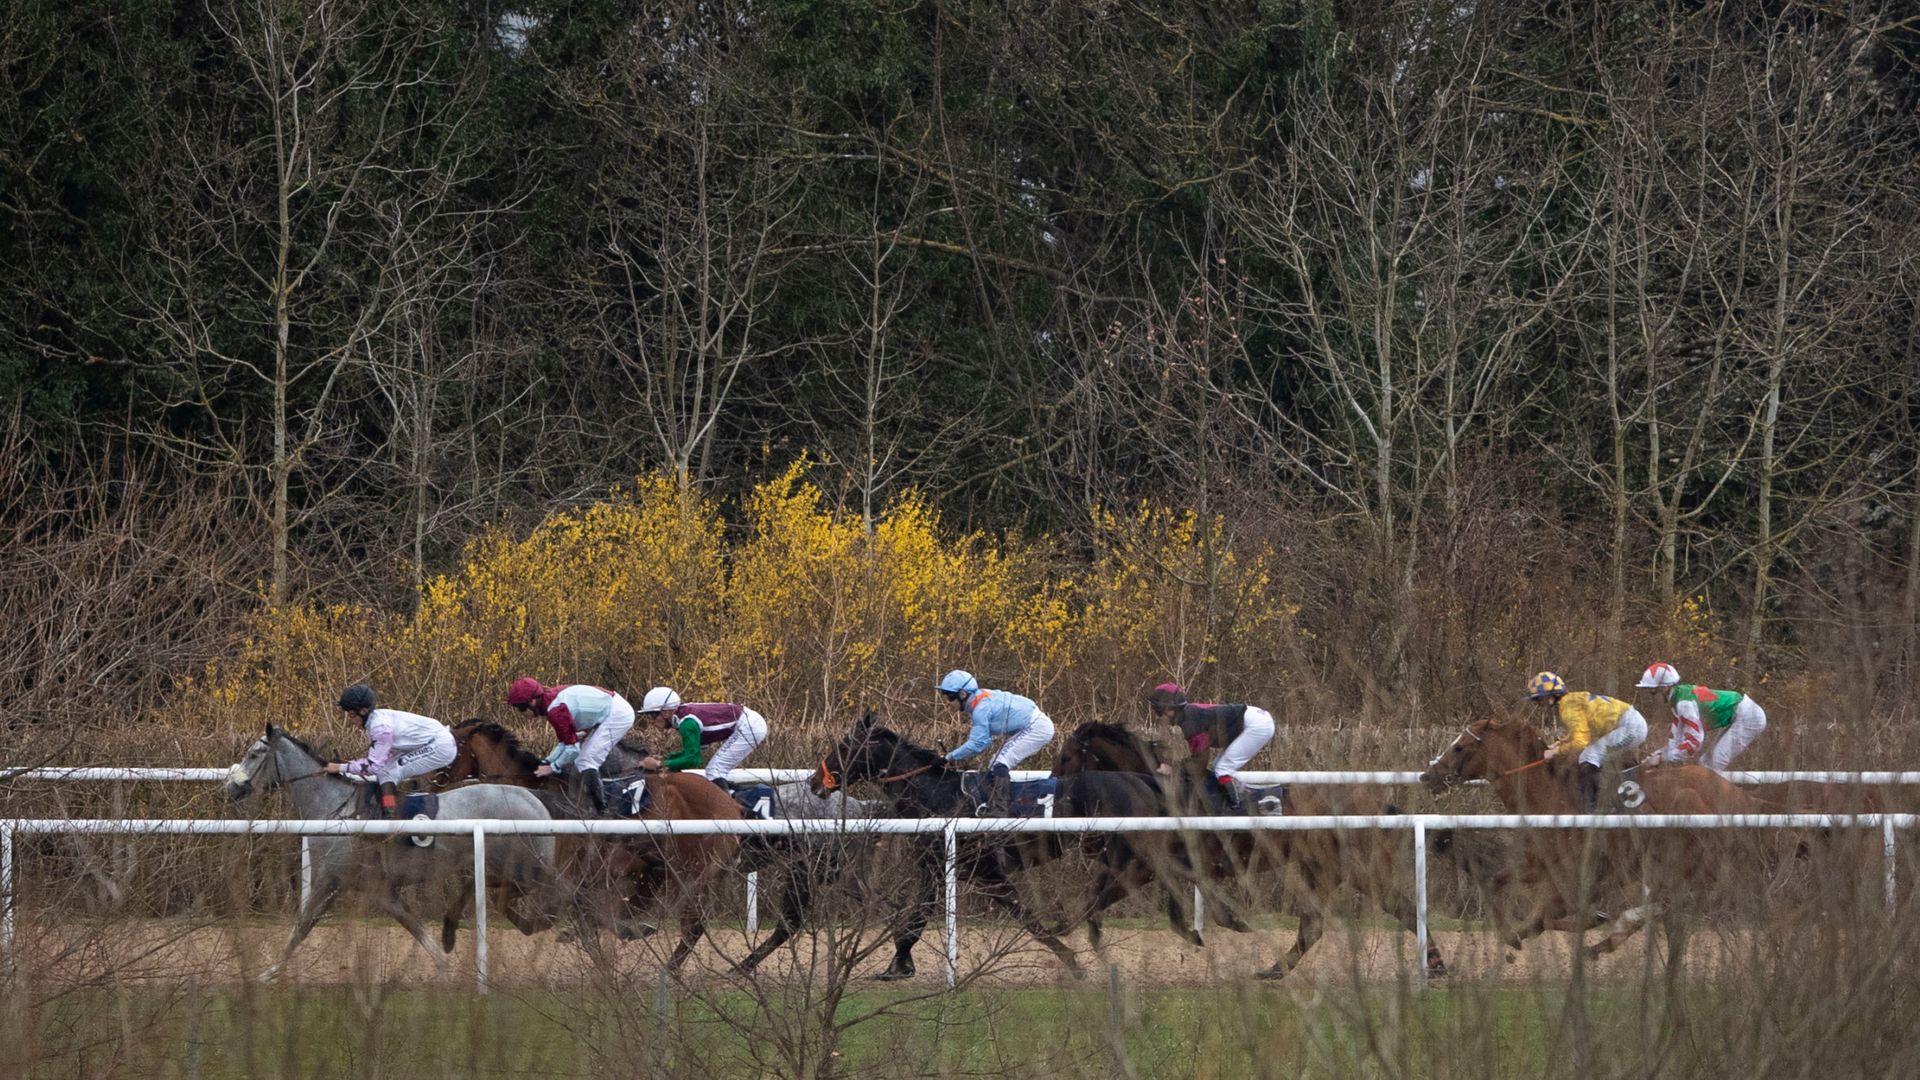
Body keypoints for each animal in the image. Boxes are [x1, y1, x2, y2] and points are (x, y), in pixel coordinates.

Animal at [226, 722, 556, 976]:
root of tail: (534, 800)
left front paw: (268, 973)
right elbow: (412, 924)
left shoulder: (330, 880)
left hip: (524, 864)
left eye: (253, 754)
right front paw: (443, 964)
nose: (230, 788)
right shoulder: (380, 887)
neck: (339, 811)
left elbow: (302, 926)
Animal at [435, 718, 741, 960]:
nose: (434, 777)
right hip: (664, 870)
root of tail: (731, 805)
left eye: (453, 743)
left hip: (691, 871)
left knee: (693, 925)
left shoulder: (552, 874)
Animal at [806, 711, 1175, 980]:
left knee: (1142, 875)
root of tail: (1142, 781)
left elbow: (925, 915)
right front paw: (900, 961)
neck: (936, 796)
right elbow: (1017, 916)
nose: (813, 781)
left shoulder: (954, 868)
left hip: (1123, 844)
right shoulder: (971, 873)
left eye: (844, 746)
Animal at [1052, 718, 1443, 980]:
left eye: (1066, 757)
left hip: (1345, 867)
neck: (1159, 794)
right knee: (1323, 923)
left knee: (1392, 908)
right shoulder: (1144, 865)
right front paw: (1075, 942)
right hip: (1325, 869)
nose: (1055, 788)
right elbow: (1096, 901)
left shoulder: (1164, 863)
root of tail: (1377, 804)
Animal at [1420, 714, 1789, 957]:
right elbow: (1498, 884)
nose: (1427, 776)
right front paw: (1511, 939)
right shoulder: (1541, 866)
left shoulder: (1583, 877)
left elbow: (1567, 915)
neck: (1550, 795)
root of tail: (1737, 794)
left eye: (1460, 747)